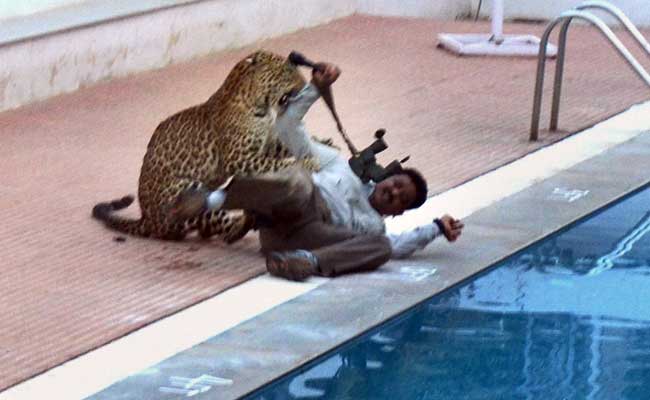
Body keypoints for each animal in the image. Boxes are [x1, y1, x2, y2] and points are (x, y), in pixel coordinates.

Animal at [92, 50, 324, 242]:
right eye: (285, 72)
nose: (305, 84)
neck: (261, 107)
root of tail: (146, 220)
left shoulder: (266, 143)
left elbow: (282, 148)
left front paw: (322, 142)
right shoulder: (239, 158)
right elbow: (280, 163)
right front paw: (309, 162)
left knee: (213, 230)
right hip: (188, 192)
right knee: (223, 229)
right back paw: (248, 219)